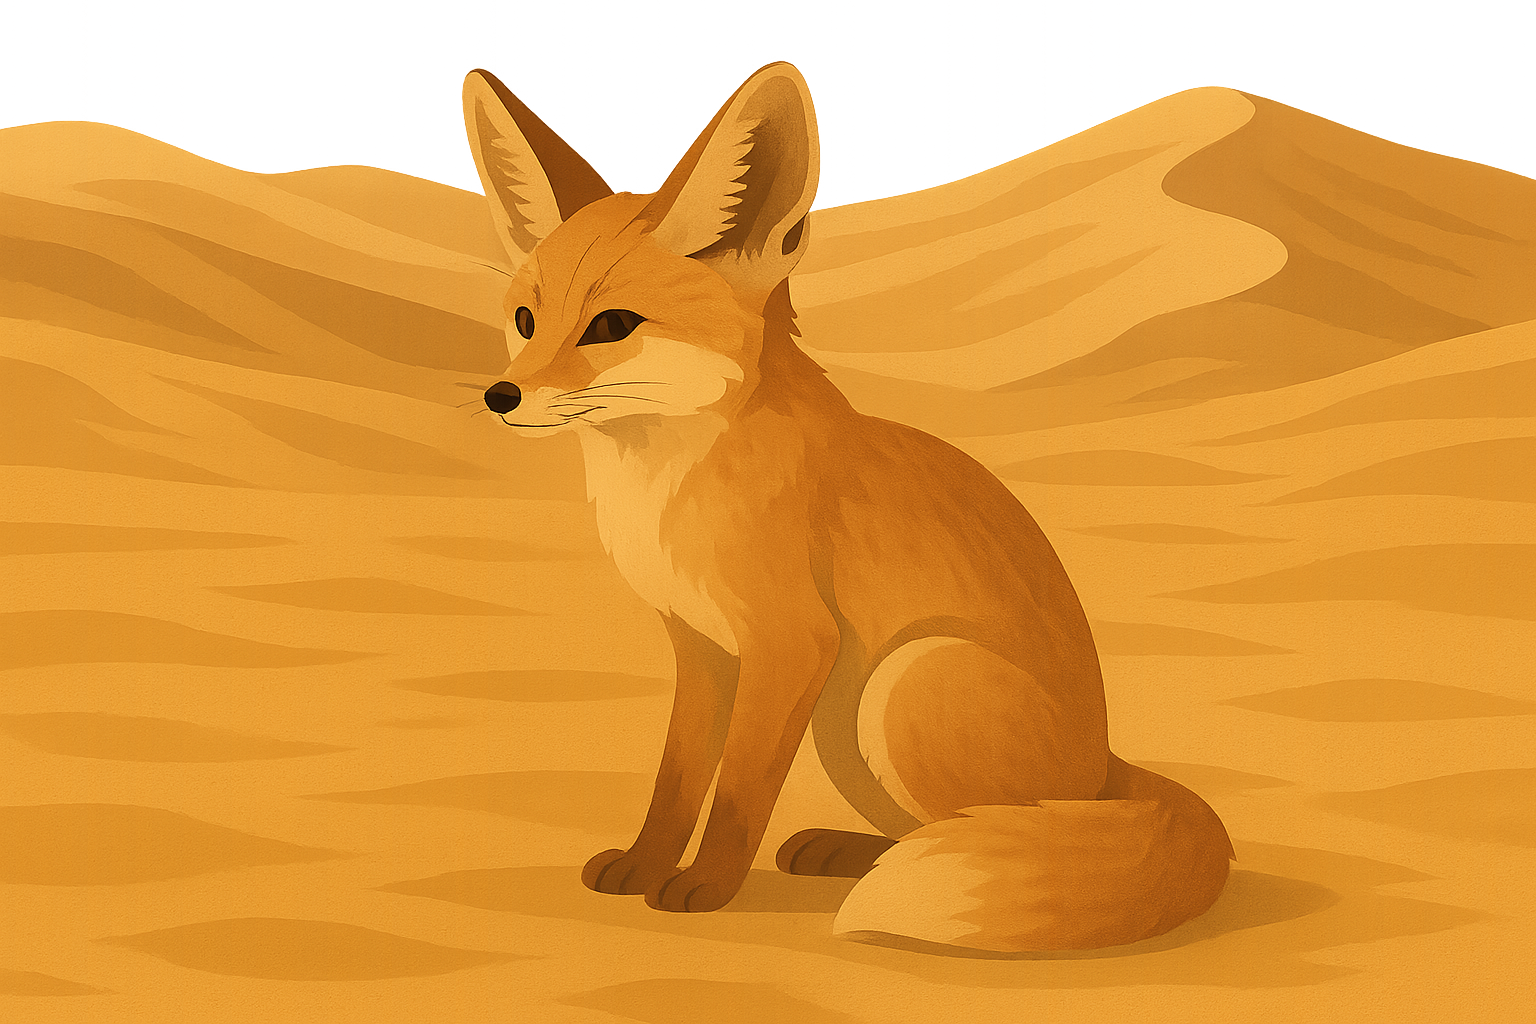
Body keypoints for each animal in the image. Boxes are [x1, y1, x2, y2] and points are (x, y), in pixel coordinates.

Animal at [463, 63, 1233, 954]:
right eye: (526, 320)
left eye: (612, 324)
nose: (500, 396)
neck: (670, 482)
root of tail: (1105, 766)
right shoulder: (702, 648)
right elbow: (677, 780)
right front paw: (643, 863)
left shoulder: (793, 643)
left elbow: (739, 790)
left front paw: (705, 886)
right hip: (846, 728)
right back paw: (851, 852)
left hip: (898, 686)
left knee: (997, 832)